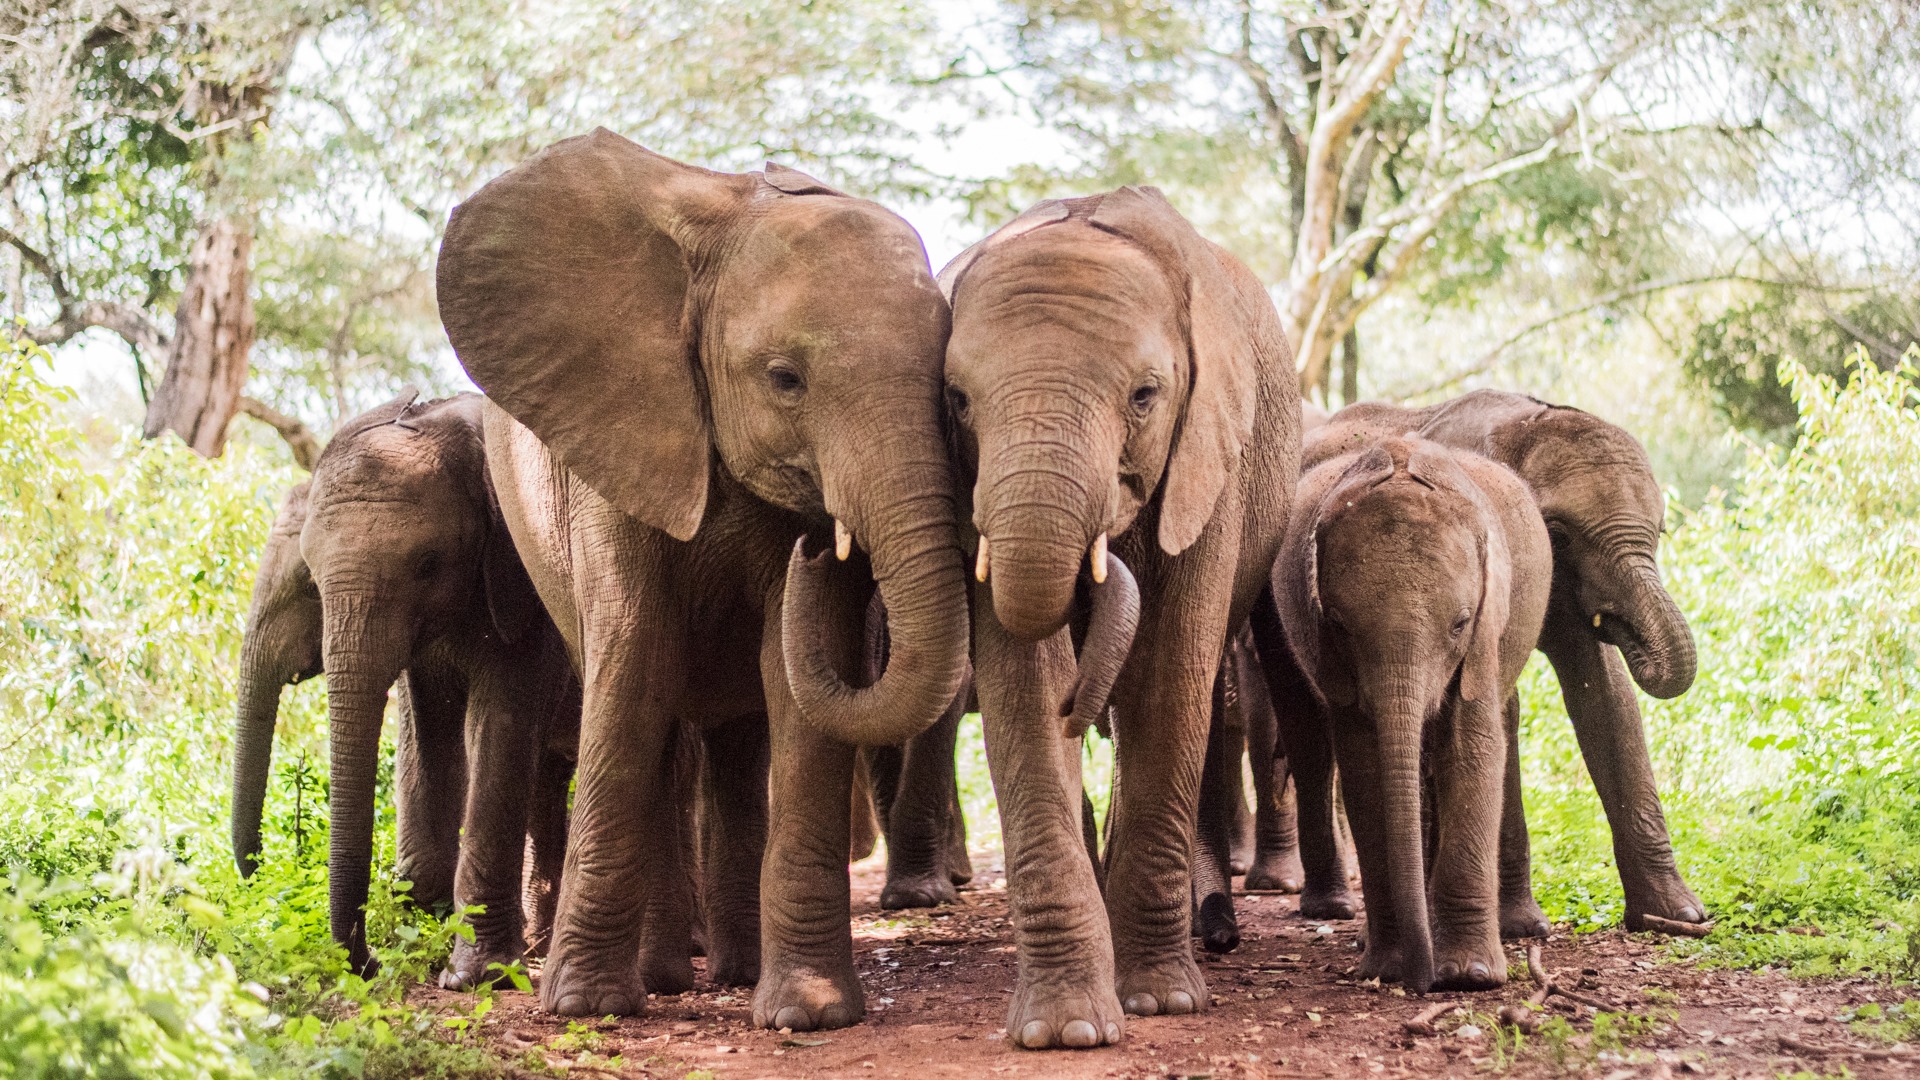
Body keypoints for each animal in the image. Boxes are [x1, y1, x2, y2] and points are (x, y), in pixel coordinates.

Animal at [229, 390, 579, 980]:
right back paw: (538, 946)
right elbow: (427, 732)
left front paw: (472, 974)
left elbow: (500, 724)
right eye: (315, 582)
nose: (366, 963)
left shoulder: (526, 583)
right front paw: (421, 934)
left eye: (427, 564)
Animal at [437, 130, 975, 1022]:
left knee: (736, 743)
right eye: (785, 379)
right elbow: (635, 664)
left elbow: (797, 689)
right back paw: (662, 981)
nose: (822, 548)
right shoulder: (617, 448)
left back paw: (732, 974)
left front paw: (808, 1014)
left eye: (947, 389)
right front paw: (583, 1007)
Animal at [936, 184, 1297, 1045]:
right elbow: (1024, 686)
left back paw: (1213, 932)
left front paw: (1162, 1002)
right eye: (957, 401)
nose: (1082, 711)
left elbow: (1170, 679)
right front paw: (1065, 1028)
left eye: (1144, 396)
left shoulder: (1212, 459)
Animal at [1274, 432, 1559, 991]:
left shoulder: (1485, 639)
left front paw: (1471, 976)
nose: (1423, 983)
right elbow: (1366, 770)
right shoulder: (1334, 660)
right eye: (1339, 625)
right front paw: (1387, 968)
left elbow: (1473, 750)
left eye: (1460, 624)